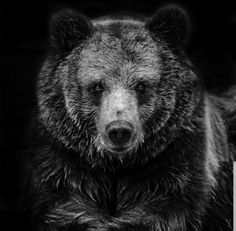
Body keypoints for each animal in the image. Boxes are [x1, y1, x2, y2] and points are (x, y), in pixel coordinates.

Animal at [24, 4, 235, 231]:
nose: (119, 130)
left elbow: (164, 211)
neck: (119, 164)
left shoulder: (177, 159)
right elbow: (65, 207)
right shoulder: (63, 158)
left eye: (141, 85)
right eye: (97, 85)